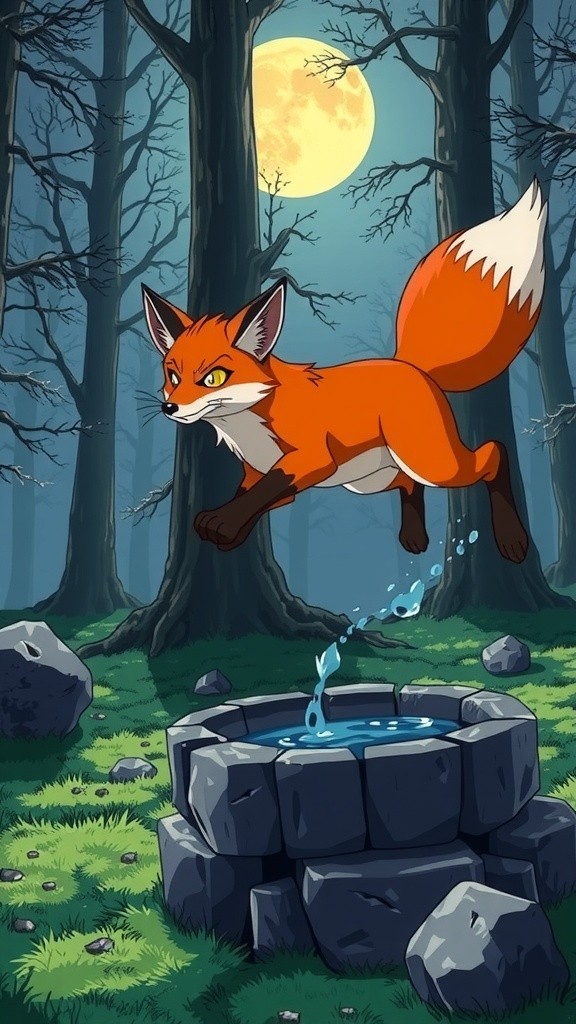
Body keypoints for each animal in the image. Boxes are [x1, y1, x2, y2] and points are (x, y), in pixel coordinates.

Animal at [141, 179, 547, 561]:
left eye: (214, 378)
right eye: (172, 376)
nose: (169, 407)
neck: (249, 426)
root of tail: (407, 364)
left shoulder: (311, 460)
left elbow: (265, 491)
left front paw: (223, 525)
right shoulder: (261, 473)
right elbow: (254, 496)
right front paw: (225, 526)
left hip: (431, 462)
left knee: (493, 454)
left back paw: (512, 537)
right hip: (367, 479)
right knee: (409, 484)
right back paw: (414, 536)